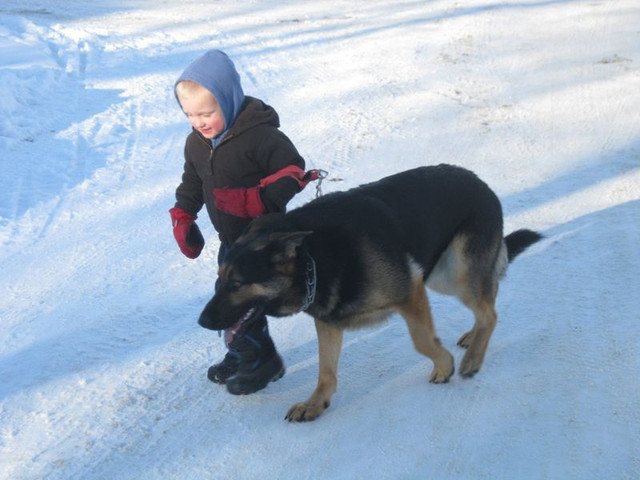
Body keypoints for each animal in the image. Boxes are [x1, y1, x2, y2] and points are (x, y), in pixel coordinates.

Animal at [199, 165, 540, 420]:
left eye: (236, 284)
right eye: (218, 280)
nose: (202, 322)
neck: (314, 257)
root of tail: (481, 182)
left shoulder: (410, 291)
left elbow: (422, 341)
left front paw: (444, 366)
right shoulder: (329, 321)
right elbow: (326, 370)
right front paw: (315, 403)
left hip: (453, 274)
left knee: (490, 312)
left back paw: (472, 360)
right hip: (441, 276)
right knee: (487, 303)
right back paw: (472, 338)